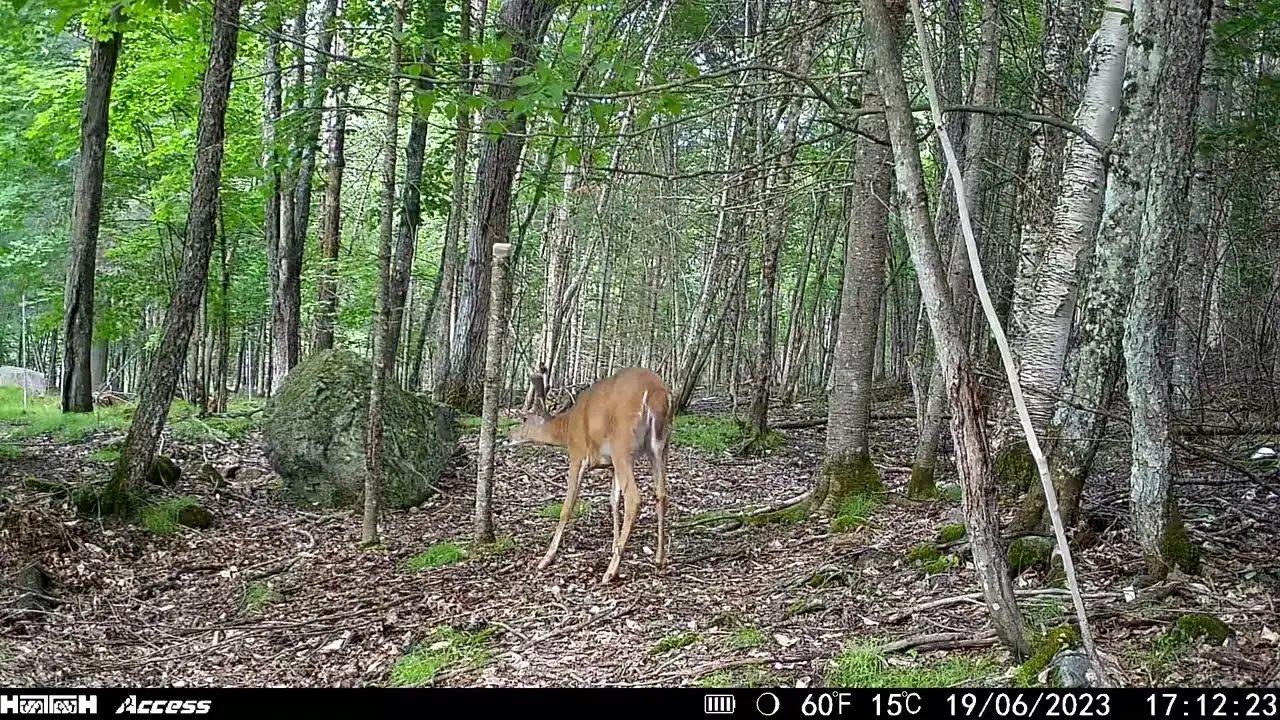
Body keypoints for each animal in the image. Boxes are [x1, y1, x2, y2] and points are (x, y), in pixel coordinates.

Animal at [504, 363, 675, 584]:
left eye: (524, 418)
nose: (508, 437)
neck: (567, 426)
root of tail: (657, 393)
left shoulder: (578, 454)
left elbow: (568, 506)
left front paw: (546, 559)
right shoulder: (610, 464)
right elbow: (613, 501)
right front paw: (614, 545)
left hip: (623, 443)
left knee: (634, 499)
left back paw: (610, 571)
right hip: (660, 446)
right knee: (661, 495)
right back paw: (659, 562)